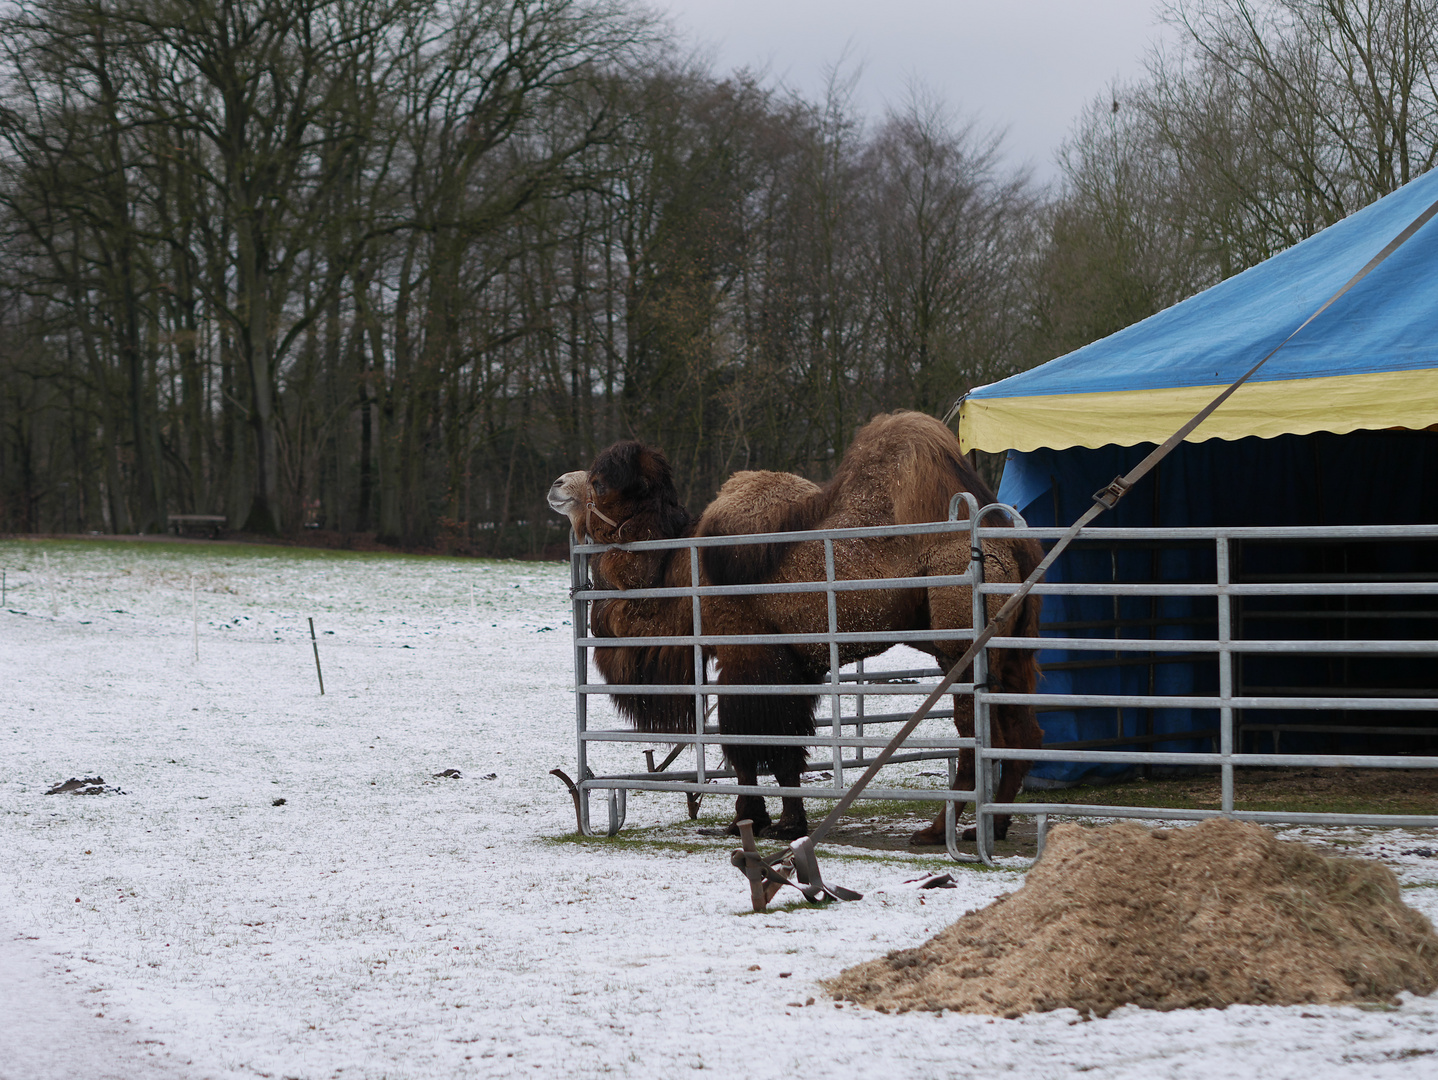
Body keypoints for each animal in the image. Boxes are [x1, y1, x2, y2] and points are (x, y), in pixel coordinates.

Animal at [543, 414, 1041, 845]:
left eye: (601, 483)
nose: (556, 484)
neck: (680, 569)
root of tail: (1010, 546)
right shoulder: (795, 663)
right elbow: (786, 747)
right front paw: (787, 823)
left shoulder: (747, 653)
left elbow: (748, 741)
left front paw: (751, 821)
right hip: (1013, 649)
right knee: (1020, 730)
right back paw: (993, 826)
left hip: (959, 644)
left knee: (977, 734)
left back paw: (940, 830)